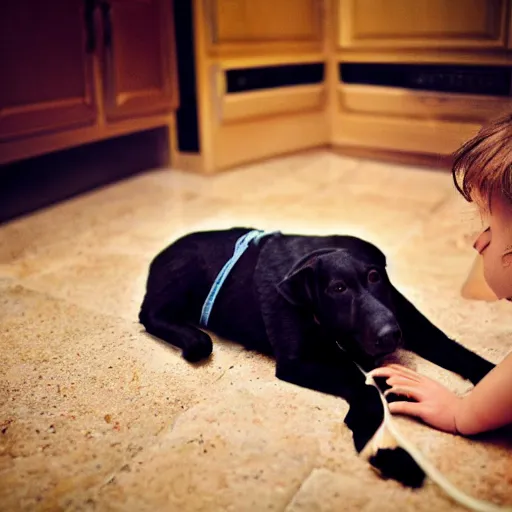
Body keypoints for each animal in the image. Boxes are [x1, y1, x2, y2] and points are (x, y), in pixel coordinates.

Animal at [138, 227, 494, 484]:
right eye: (337, 288)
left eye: (374, 276)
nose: (390, 335)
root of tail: (159, 255)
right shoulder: (296, 363)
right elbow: (363, 386)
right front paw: (385, 451)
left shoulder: (414, 326)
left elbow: (458, 351)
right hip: (182, 276)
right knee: (150, 315)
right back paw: (192, 338)